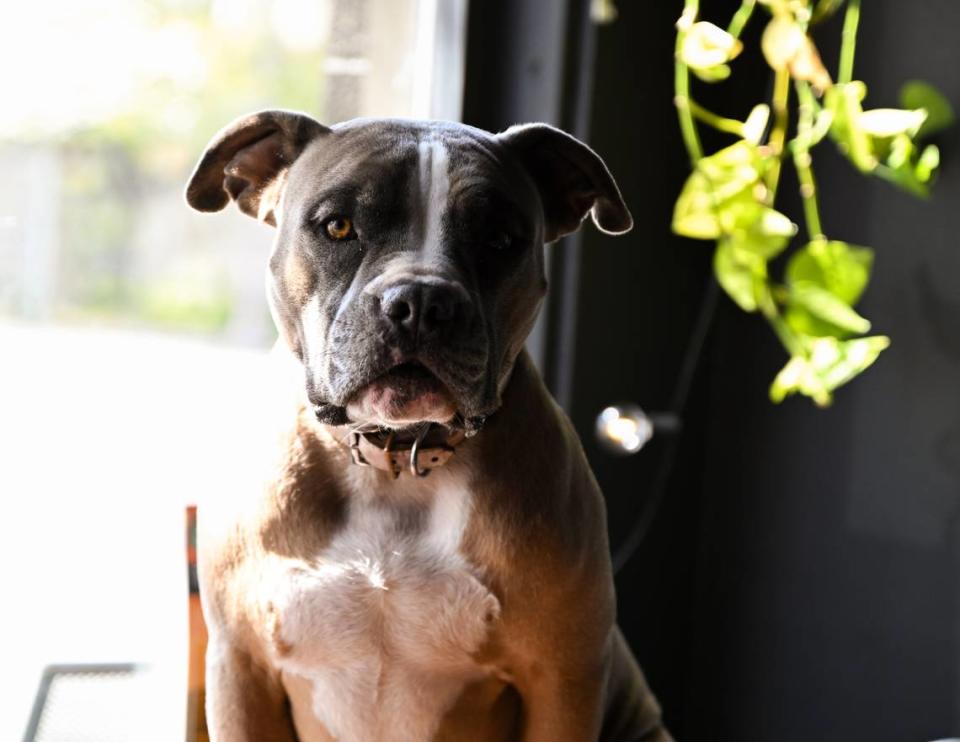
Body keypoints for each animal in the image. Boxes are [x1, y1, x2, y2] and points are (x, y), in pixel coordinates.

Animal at [184, 110, 672, 742]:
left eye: (500, 240)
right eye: (338, 226)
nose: (419, 300)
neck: (395, 461)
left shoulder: (562, 680)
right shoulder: (242, 671)